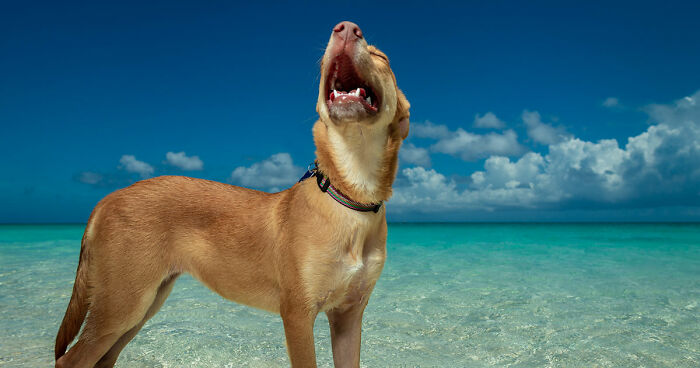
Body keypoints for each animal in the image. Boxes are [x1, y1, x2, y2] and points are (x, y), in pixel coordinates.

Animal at [54, 20, 410, 368]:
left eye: (380, 57)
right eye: (323, 61)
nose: (346, 29)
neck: (351, 195)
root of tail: (107, 199)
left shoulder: (348, 316)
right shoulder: (297, 315)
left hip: (144, 302)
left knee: (105, 358)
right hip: (123, 304)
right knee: (71, 359)